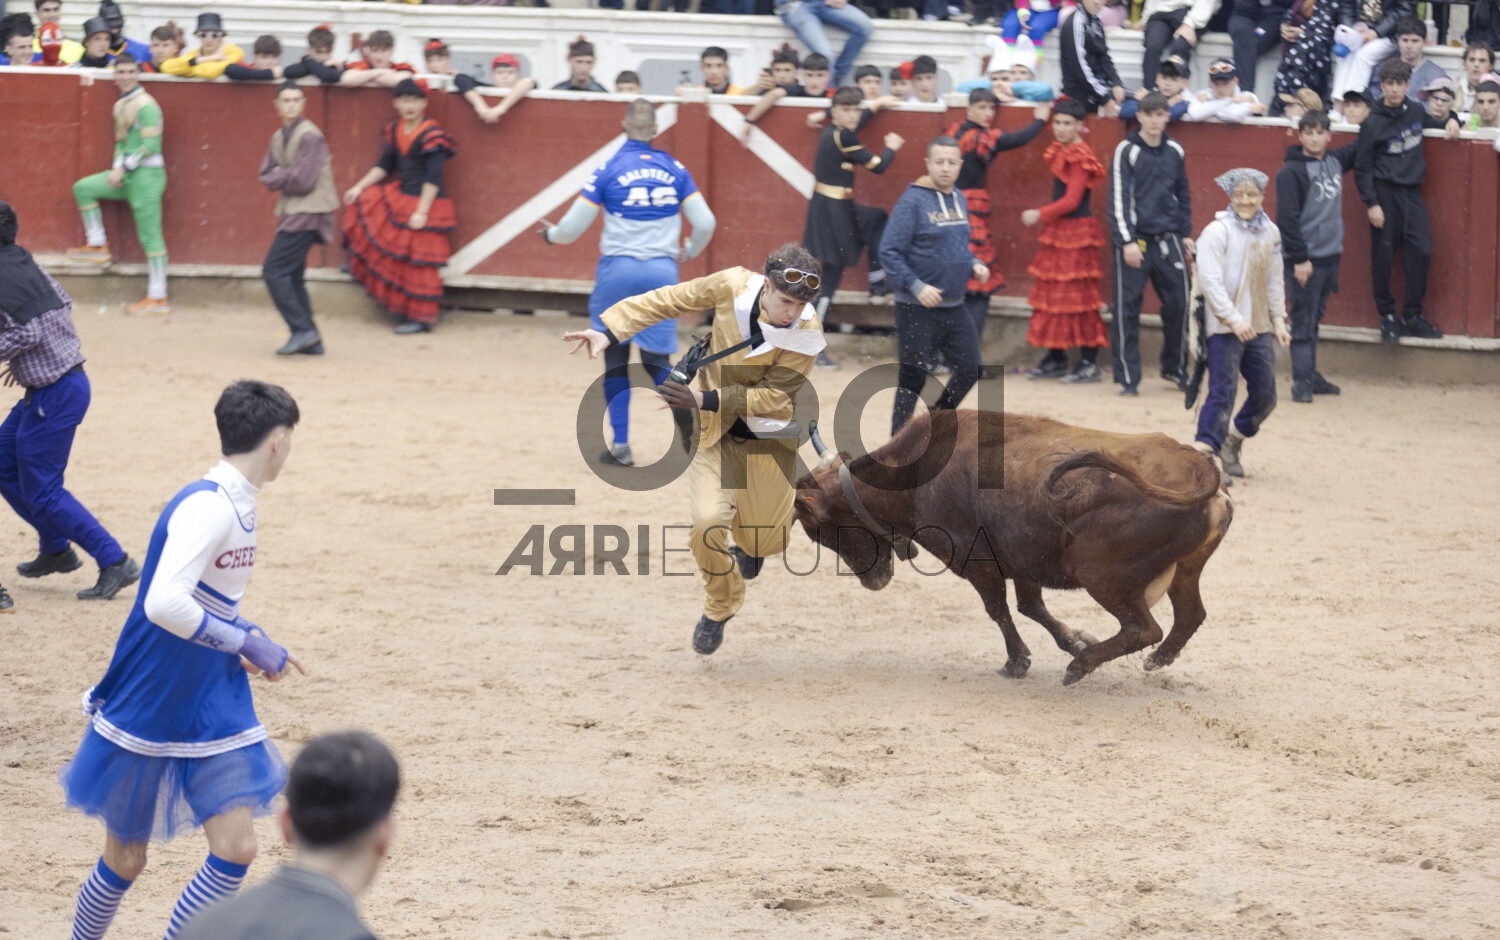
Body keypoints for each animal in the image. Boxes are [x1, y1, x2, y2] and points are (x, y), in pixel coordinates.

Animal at [794, 410, 1233, 685]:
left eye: (822, 531)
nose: (874, 582)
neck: (916, 476)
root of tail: (1200, 468)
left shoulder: (976, 561)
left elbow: (999, 610)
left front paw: (1017, 662)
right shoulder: (1025, 559)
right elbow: (1030, 607)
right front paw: (1074, 637)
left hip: (1099, 573)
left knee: (1144, 628)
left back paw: (1080, 667)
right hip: (1185, 571)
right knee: (1189, 616)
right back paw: (1153, 661)